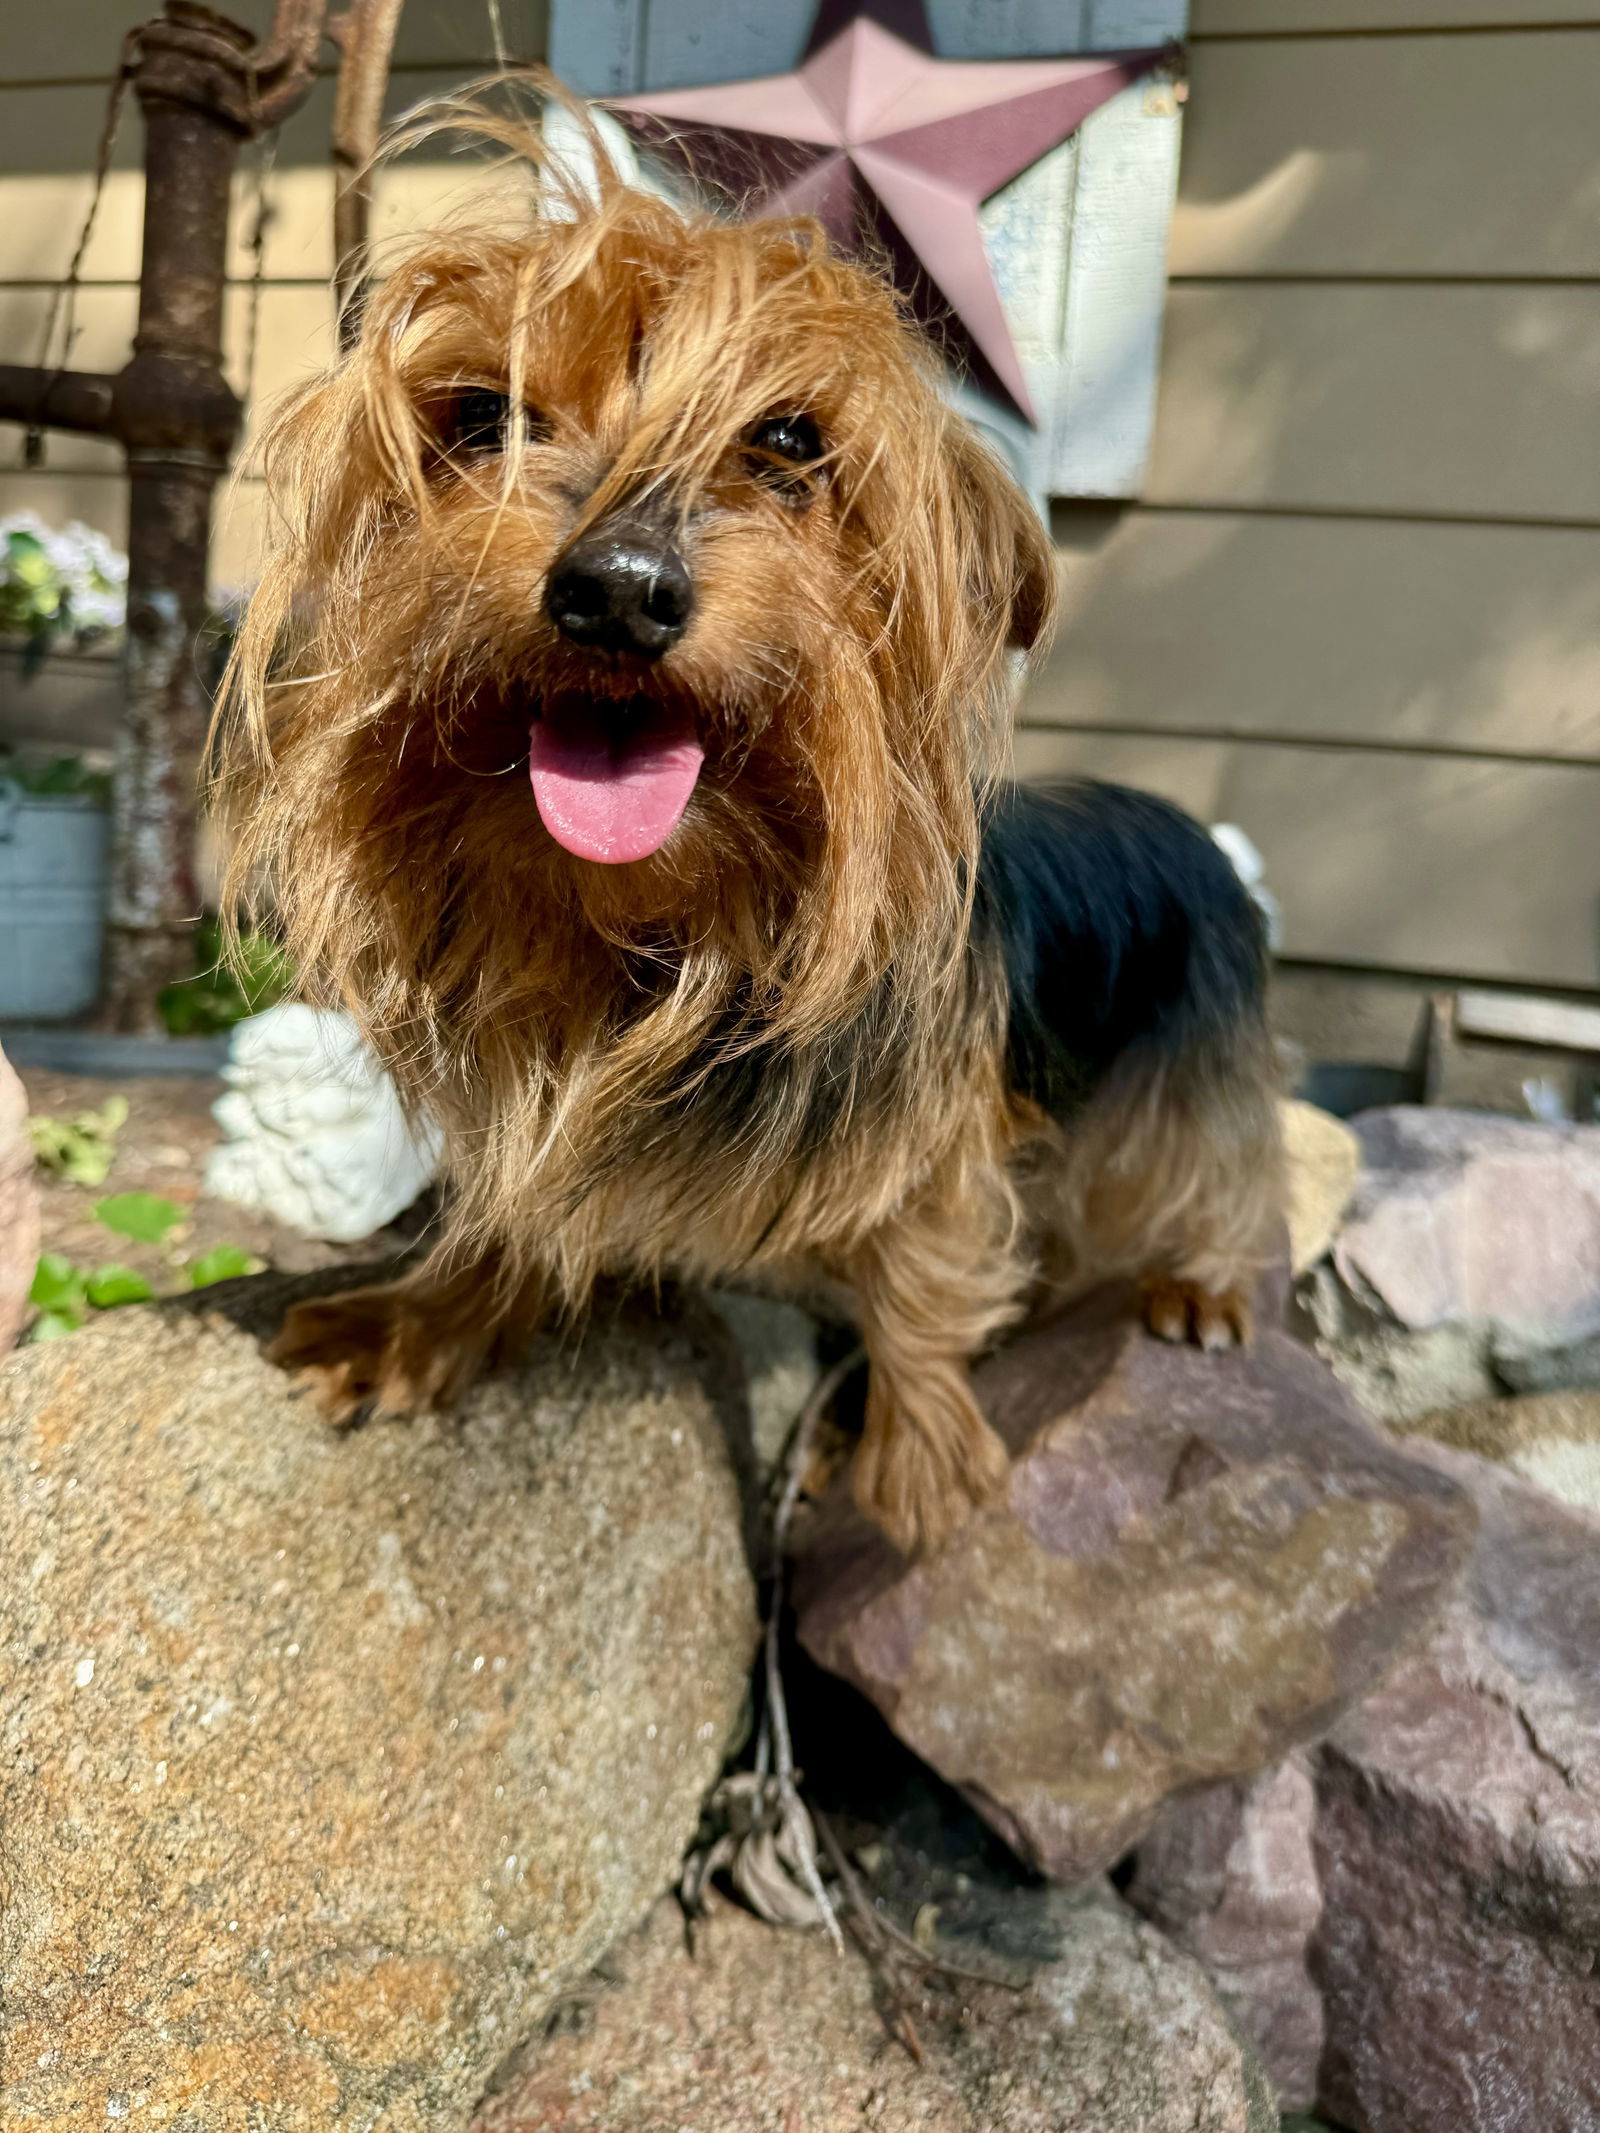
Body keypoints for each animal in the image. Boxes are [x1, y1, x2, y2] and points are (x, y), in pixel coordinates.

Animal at [219, 100, 1288, 1561]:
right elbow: (511, 1205)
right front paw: (426, 1319)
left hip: (1192, 1069)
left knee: (1220, 1172)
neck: (660, 930)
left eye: (787, 442)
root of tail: (1185, 824)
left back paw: (1201, 1283)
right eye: (484, 416)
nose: (619, 589)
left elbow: (925, 1259)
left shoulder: (940, 1124)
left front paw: (919, 1458)